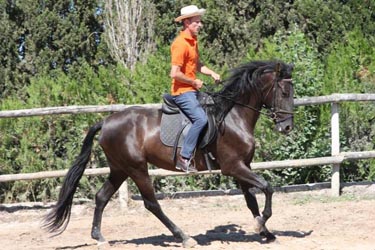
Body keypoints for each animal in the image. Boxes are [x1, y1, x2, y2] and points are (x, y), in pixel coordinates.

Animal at [44, 60, 296, 248]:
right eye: (284, 92)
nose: (287, 127)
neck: (233, 116)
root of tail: (105, 122)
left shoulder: (244, 166)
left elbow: (251, 200)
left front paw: (265, 232)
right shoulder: (233, 166)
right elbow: (267, 188)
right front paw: (261, 224)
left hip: (119, 169)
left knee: (101, 197)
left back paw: (99, 237)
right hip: (136, 168)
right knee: (151, 204)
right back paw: (184, 237)